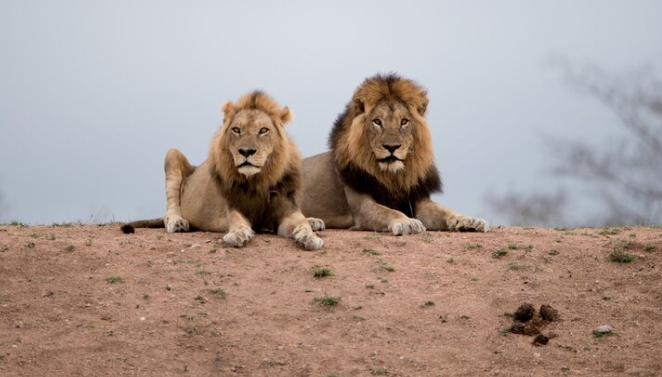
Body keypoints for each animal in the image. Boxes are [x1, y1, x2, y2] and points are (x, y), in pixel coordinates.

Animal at [122, 91, 326, 250]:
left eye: (263, 130)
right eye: (236, 130)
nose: (246, 151)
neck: (258, 181)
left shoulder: (287, 209)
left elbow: (301, 222)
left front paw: (310, 236)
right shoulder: (234, 206)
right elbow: (237, 221)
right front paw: (237, 234)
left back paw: (314, 221)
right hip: (172, 154)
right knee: (170, 208)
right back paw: (177, 222)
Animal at [300, 72, 488, 235]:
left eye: (404, 121)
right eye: (377, 122)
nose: (392, 147)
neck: (393, 176)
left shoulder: (418, 200)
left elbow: (445, 210)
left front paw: (469, 220)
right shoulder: (362, 207)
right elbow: (389, 212)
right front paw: (407, 222)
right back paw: (312, 221)